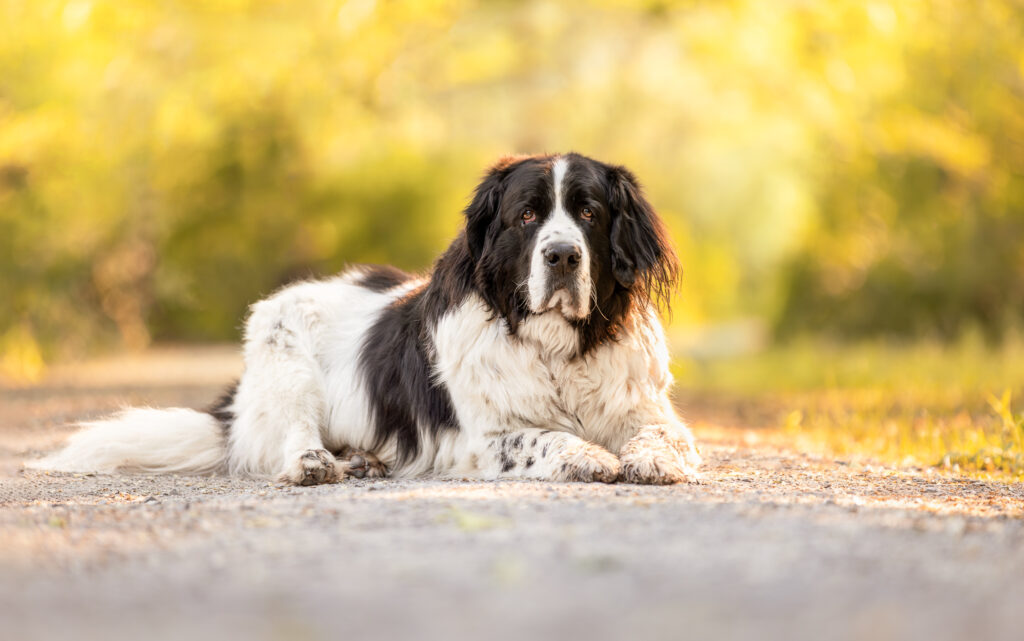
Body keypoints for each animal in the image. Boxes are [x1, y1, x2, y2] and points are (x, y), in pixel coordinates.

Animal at [32, 153, 704, 483]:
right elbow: (539, 436)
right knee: (289, 437)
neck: (557, 347)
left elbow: (667, 436)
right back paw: (320, 464)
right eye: (527, 216)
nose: (562, 255)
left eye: (589, 213)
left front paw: (653, 460)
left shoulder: (645, 408)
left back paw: (363, 459)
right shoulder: (479, 438)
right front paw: (589, 456)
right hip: (286, 356)